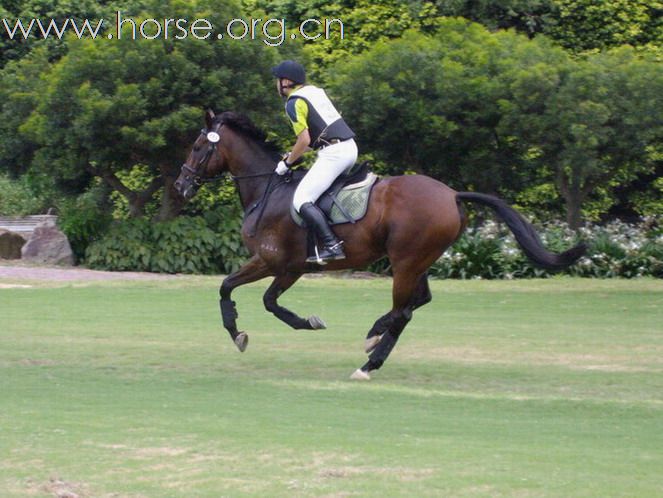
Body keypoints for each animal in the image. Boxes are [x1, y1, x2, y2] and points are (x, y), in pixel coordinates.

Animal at [172, 110, 588, 382]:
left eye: (198, 146)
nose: (180, 185)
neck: (266, 189)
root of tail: (452, 194)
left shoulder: (276, 263)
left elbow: (246, 294)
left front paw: (248, 332)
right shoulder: (285, 267)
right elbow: (251, 295)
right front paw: (259, 330)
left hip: (405, 262)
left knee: (403, 311)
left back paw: (370, 356)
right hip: (417, 262)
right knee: (418, 301)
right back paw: (375, 339)